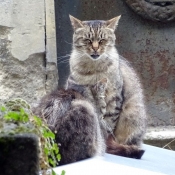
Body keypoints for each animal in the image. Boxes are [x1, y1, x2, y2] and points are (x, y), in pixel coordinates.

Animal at [66, 15, 147, 157]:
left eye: (102, 40)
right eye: (87, 40)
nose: (95, 48)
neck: (94, 70)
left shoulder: (114, 98)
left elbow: (109, 122)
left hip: (133, 116)